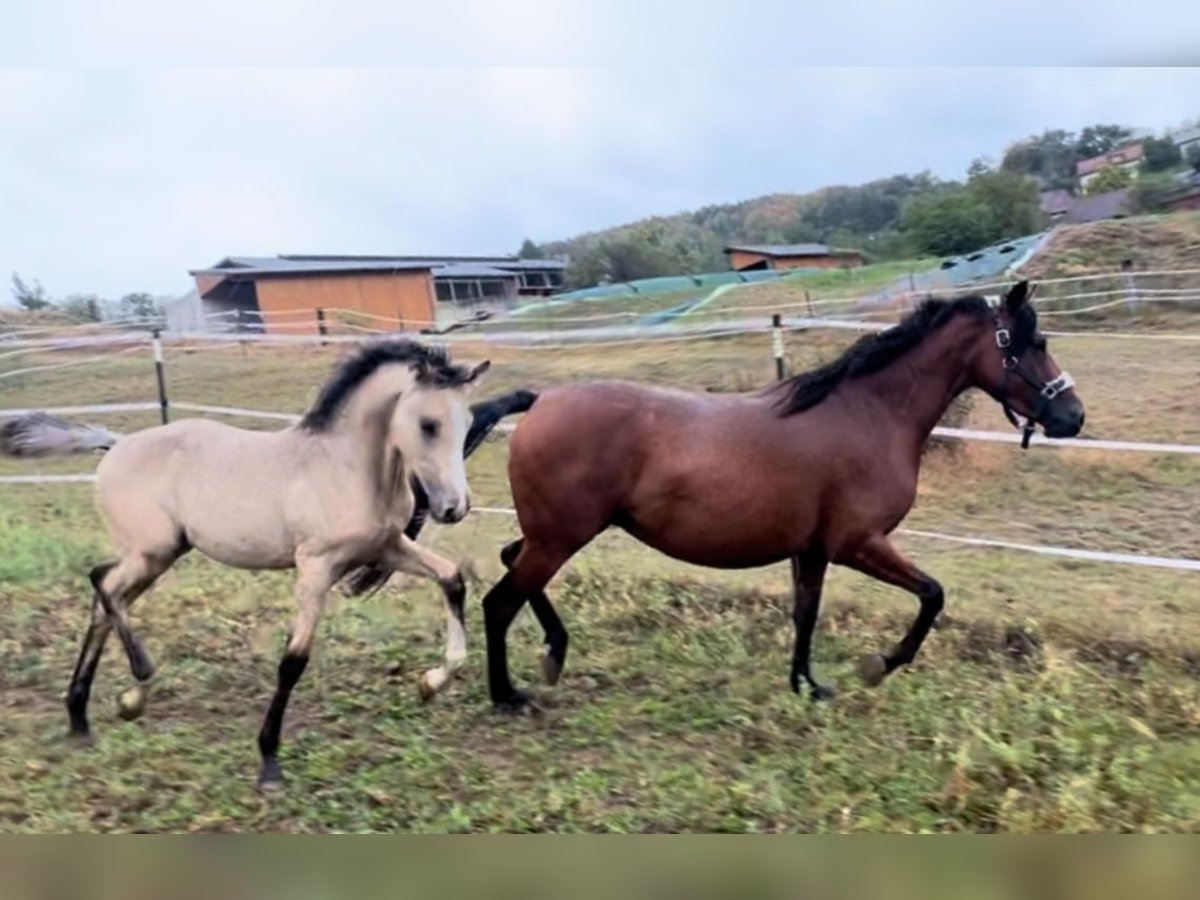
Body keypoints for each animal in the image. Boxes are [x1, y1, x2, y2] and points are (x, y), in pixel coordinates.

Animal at [477, 282, 1089, 710]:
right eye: (1036, 343)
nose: (1073, 416)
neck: (869, 414)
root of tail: (541, 401)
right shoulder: (856, 543)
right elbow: (932, 595)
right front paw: (880, 665)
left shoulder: (812, 550)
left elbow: (805, 614)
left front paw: (806, 684)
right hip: (560, 537)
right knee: (499, 601)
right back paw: (509, 695)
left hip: (552, 535)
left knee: (510, 561)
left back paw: (554, 652)